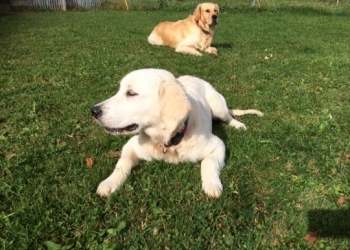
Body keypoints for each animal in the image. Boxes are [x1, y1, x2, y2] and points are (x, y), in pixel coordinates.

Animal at [91, 68, 262, 197]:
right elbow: (122, 163)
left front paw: (212, 184)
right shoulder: (131, 145)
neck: (169, 140)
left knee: (228, 117)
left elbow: (208, 162)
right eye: (120, 90)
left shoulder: (218, 144)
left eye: (131, 93)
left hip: (218, 107)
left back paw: (238, 124)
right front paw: (110, 182)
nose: (93, 111)